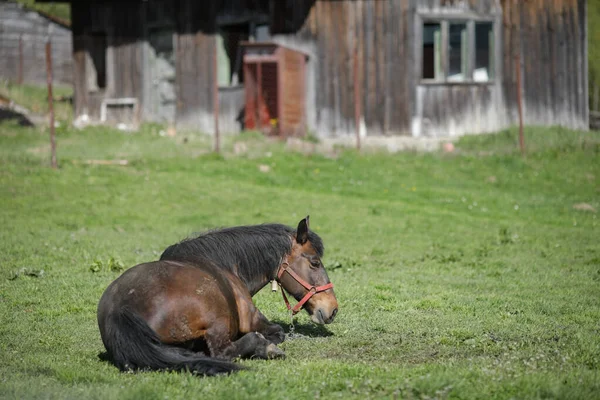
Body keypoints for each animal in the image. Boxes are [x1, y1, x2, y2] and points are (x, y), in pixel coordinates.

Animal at [97, 216, 338, 376]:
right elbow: (278, 332)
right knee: (224, 352)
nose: (333, 309)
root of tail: (120, 309)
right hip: (218, 322)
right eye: (315, 262)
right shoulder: (252, 318)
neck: (224, 264)